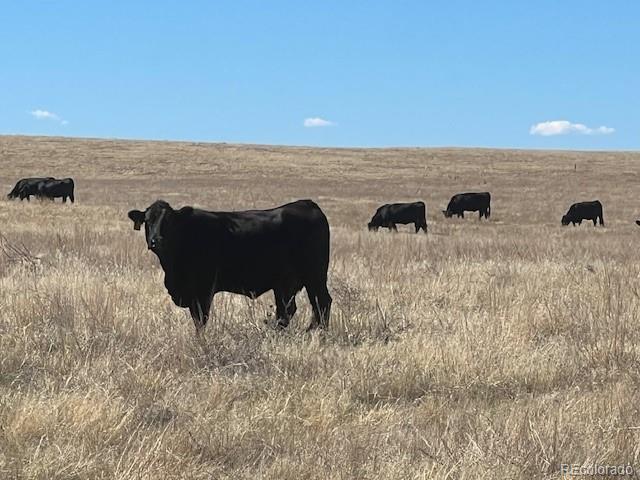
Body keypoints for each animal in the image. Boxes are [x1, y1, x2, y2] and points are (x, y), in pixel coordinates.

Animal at [127, 199, 332, 334]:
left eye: (169, 221)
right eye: (147, 221)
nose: (156, 240)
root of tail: (307, 204)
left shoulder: (204, 290)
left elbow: (200, 321)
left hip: (315, 275)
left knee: (322, 303)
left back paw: (318, 335)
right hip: (285, 283)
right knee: (287, 311)